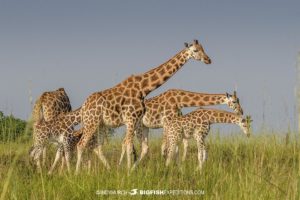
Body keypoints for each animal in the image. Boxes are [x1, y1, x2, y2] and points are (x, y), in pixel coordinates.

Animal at [75, 39, 211, 173]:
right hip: (91, 123)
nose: (208, 60)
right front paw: (128, 172)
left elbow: (133, 146)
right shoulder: (131, 119)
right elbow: (129, 146)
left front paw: (128, 170)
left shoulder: (135, 121)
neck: (143, 88)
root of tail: (84, 106)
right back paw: (76, 173)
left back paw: (110, 170)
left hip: (101, 125)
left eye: (203, 48)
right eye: (195, 50)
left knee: (97, 147)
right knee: (81, 145)